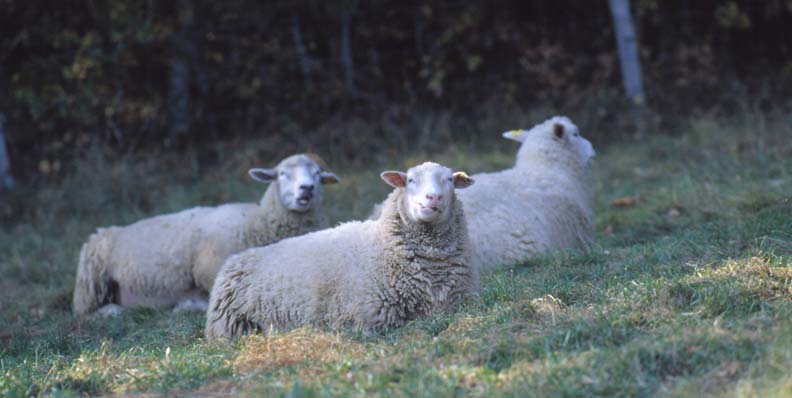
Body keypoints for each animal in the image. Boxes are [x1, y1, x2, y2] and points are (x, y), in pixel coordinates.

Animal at [75, 153, 344, 318]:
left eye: (318, 175)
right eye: (282, 174)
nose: (307, 189)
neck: (257, 222)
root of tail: (110, 230)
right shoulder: (210, 270)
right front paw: (188, 305)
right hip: (91, 281)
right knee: (83, 312)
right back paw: (112, 312)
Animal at [206, 161, 476, 338]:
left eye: (450, 180)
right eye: (410, 180)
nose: (433, 198)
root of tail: (239, 258)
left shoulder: (455, 306)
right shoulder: (367, 320)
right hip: (229, 325)